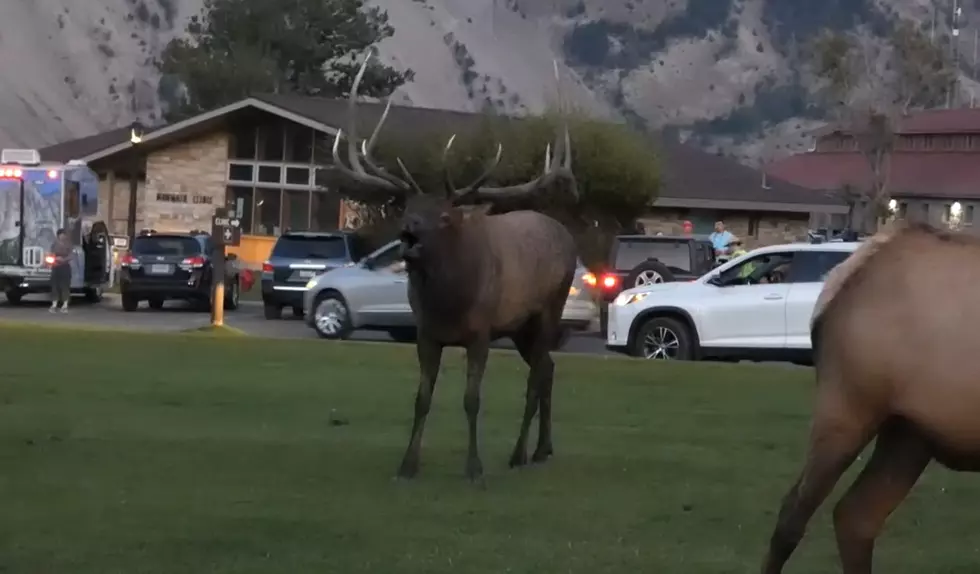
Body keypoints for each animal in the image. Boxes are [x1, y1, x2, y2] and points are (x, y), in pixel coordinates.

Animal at [326, 48, 580, 482]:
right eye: (407, 207)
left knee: (535, 378)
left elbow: (471, 399)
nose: (409, 231)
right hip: (520, 328)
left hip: (549, 308)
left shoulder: (481, 332)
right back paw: (542, 449)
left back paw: (519, 454)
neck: (449, 302)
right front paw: (407, 465)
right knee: (546, 369)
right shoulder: (426, 334)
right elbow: (421, 399)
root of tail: (567, 236)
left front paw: (474, 467)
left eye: (445, 216)